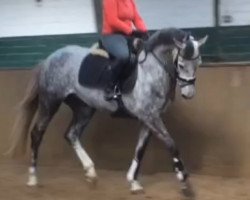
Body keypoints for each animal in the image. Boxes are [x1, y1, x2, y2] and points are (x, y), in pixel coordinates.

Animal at [7, 27, 207, 197]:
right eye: (181, 64)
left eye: (198, 63)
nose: (188, 94)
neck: (152, 69)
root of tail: (49, 59)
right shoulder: (150, 117)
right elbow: (171, 144)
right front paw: (185, 184)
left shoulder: (148, 118)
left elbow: (140, 149)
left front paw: (133, 183)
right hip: (50, 102)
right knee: (37, 134)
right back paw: (33, 179)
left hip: (84, 108)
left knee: (71, 134)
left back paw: (91, 173)